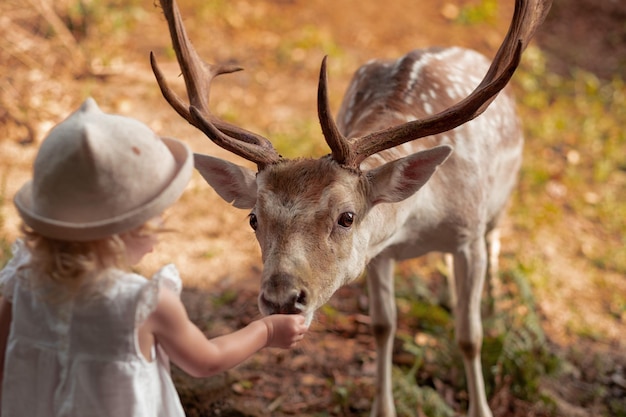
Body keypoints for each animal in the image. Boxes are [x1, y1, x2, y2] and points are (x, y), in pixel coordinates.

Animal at [150, 0, 544, 416]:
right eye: (253, 218)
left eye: (347, 216)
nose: (281, 298)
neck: (420, 222)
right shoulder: (379, 252)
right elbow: (383, 326)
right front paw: (383, 408)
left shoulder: (467, 235)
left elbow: (470, 336)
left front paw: (481, 405)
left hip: (500, 202)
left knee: (496, 243)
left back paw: (496, 306)